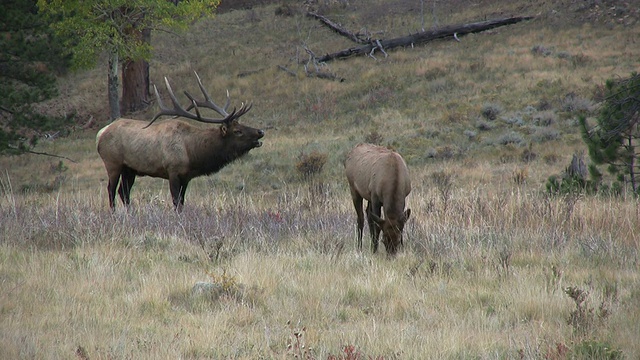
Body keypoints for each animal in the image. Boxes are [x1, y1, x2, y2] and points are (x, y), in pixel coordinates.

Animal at [95, 71, 264, 211]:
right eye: (238, 131)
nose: (260, 132)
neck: (192, 154)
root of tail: (101, 133)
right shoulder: (173, 170)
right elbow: (176, 202)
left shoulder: (186, 177)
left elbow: (182, 202)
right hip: (113, 163)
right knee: (111, 190)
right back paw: (114, 213)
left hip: (130, 168)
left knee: (123, 192)